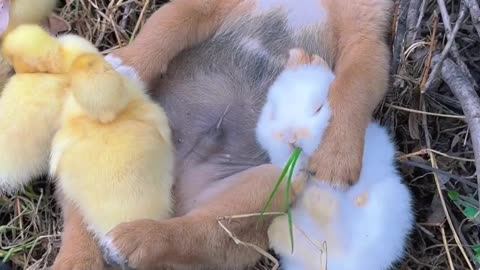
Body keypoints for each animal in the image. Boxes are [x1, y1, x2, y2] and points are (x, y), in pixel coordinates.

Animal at [51, 0, 394, 270]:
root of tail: (174, 195)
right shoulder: (203, 4)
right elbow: (166, 26)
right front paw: (125, 65)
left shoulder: (366, 36)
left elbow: (353, 89)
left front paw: (338, 156)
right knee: (80, 223)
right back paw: (76, 261)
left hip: (267, 185)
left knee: (199, 233)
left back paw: (136, 239)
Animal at [256, 48, 414, 270]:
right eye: (272, 112)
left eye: (319, 108)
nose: (291, 137)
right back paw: (282, 226)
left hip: (387, 210)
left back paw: (320, 201)